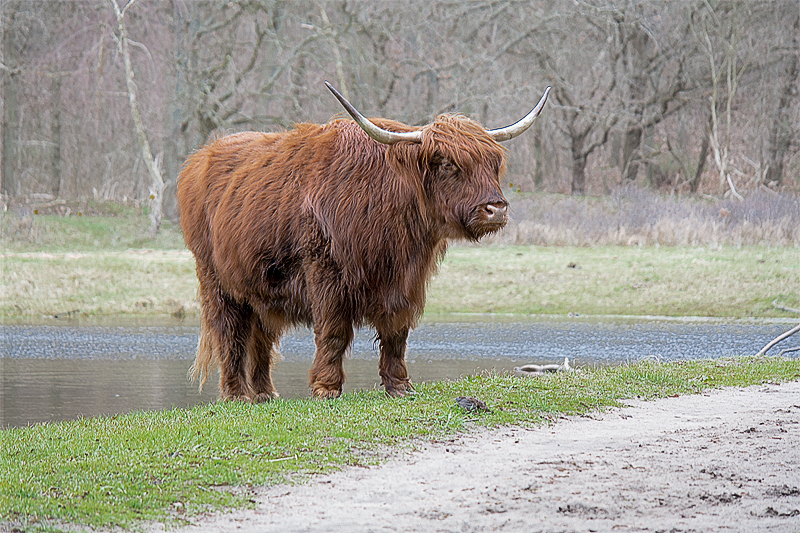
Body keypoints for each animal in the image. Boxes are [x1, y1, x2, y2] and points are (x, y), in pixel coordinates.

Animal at [177, 82, 552, 400]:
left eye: (493, 163)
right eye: (446, 163)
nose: (496, 209)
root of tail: (201, 157)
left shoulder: (406, 280)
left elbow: (397, 332)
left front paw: (399, 385)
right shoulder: (326, 271)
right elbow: (333, 331)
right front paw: (326, 388)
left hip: (259, 286)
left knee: (261, 336)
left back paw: (265, 395)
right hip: (215, 279)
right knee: (230, 333)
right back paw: (236, 394)